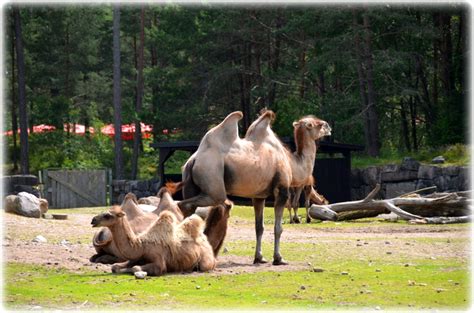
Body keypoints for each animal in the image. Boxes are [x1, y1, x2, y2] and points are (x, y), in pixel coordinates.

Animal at [178, 109, 330, 264]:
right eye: (316, 124)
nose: (328, 126)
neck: (292, 164)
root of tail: (194, 160)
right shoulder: (282, 189)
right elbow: (278, 228)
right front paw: (278, 258)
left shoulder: (258, 196)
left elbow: (259, 227)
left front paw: (259, 257)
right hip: (213, 182)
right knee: (185, 204)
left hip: (191, 184)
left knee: (187, 207)